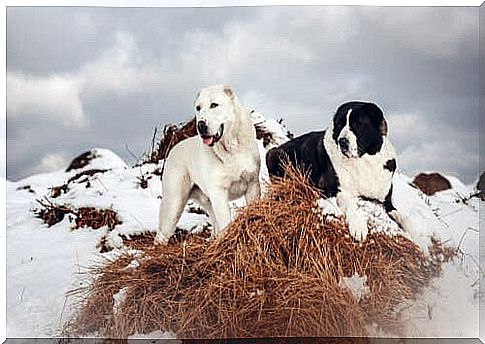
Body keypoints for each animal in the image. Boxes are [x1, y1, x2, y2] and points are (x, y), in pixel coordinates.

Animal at [155, 84, 260, 243]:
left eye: (214, 105)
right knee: (162, 234)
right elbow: (225, 223)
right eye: (198, 108)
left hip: (207, 201)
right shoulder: (219, 192)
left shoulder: (252, 185)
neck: (231, 147)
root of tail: (173, 149)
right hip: (174, 202)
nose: (200, 125)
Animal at [266, 101, 406, 241]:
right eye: (339, 124)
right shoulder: (337, 189)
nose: (342, 141)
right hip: (273, 153)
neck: (364, 160)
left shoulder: (387, 201)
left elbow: (402, 216)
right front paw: (358, 226)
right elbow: (352, 204)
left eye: (358, 123)